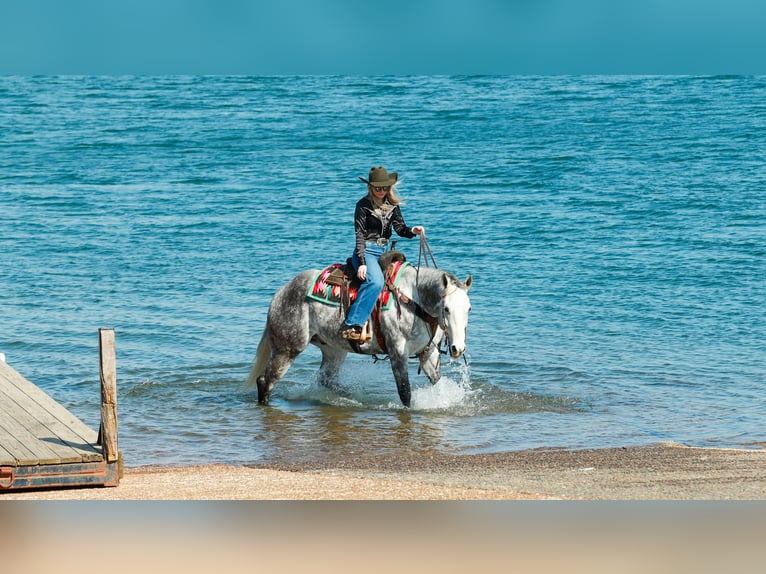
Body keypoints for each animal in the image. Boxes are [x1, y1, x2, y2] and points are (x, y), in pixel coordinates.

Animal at [247, 256, 472, 407]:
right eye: (446, 308)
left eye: (469, 308)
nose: (458, 348)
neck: (413, 299)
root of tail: (280, 293)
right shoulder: (397, 353)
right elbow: (405, 393)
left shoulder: (429, 355)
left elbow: (438, 383)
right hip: (287, 349)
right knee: (265, 381)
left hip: (333, 351)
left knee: (327, 381)